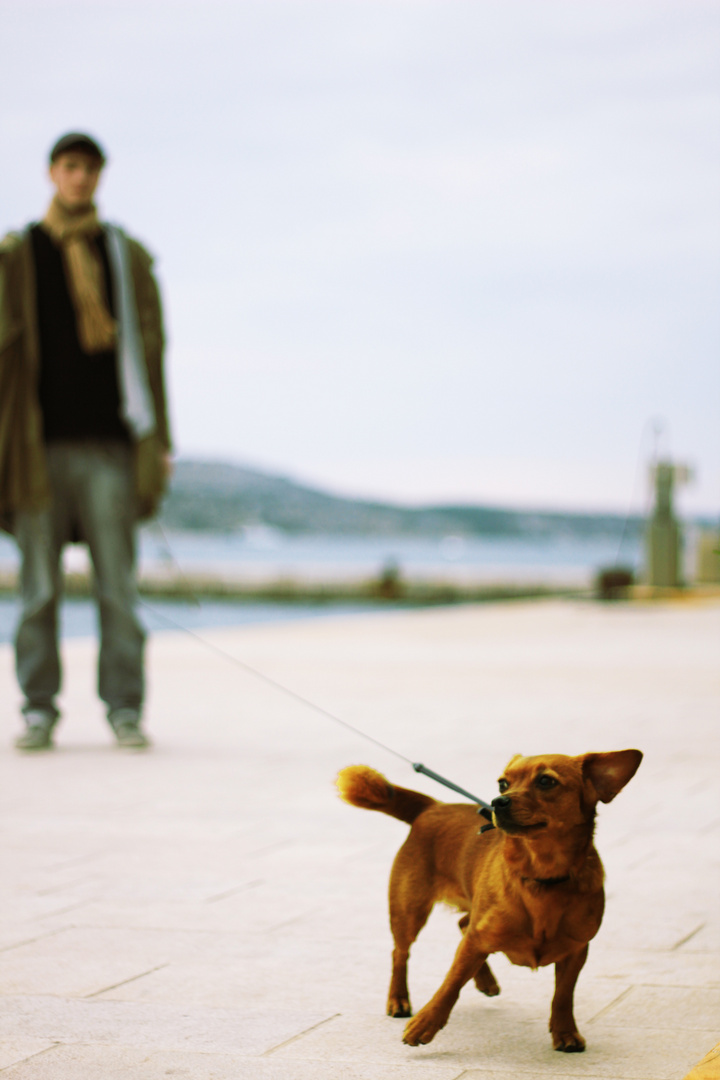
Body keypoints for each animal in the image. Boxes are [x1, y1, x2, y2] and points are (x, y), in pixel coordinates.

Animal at [338, 747, 643, 1049]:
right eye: (503, 783)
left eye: (546, 781)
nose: (497, 801)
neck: (541, 876)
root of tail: (433, 807)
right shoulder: (476, 940)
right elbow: (451, 983)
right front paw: (425, 1023)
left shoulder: (576, 950)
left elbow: (563, 996)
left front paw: (565, 1032)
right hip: (408, 910)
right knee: (401, 953)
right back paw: (399, 999)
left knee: (462, 924)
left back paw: (484, 981)